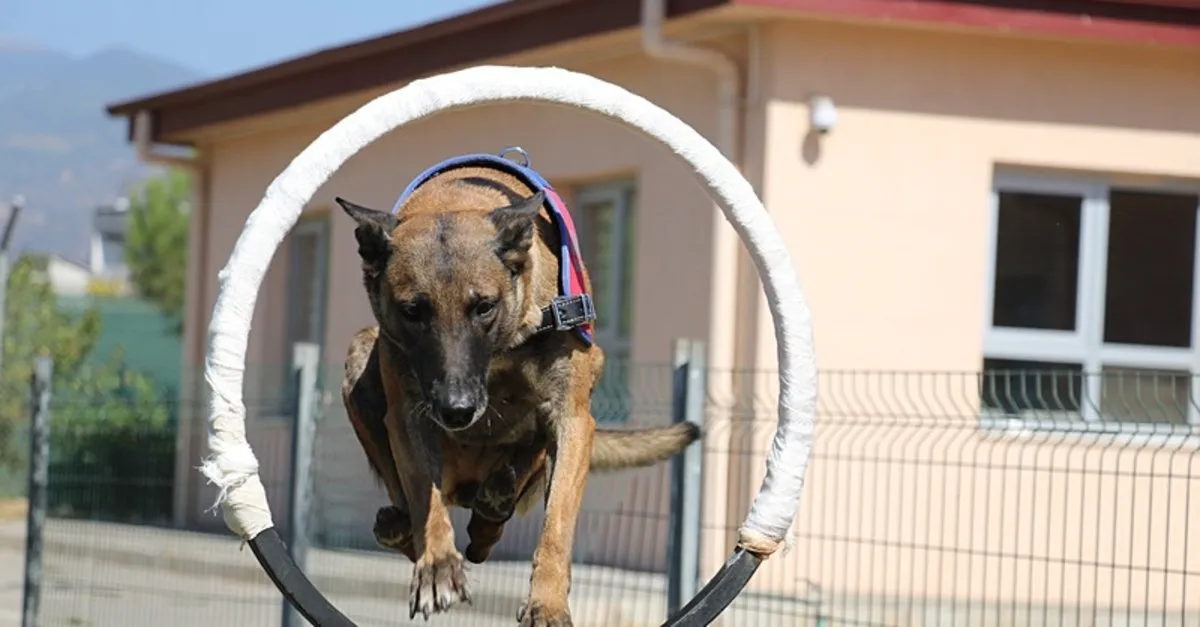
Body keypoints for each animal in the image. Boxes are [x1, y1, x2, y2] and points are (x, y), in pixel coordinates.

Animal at [333, 152, 700, 624]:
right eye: (413, 311)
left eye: (484, 307)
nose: (457, 411)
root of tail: (465, 486)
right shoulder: (408, 415)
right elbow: (424, 498)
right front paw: (437, 565)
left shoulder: (572, 419)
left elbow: (556, 525)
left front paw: (547, 602)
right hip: (362, 354)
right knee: (415, 511)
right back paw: (411, 528)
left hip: (590, 375)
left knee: (509, 487)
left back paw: (495, 499)